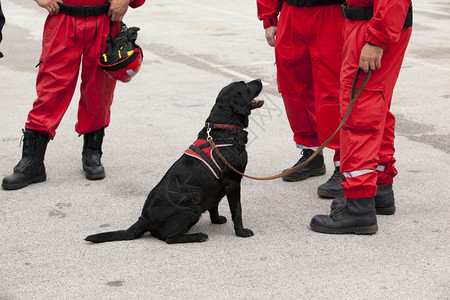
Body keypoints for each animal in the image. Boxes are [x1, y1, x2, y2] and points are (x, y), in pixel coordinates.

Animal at [85, 79, 264, 244]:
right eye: (245, 85)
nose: (260, 80)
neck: (224, 130)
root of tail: (143, 220)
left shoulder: (217, 187)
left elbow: (214, 206)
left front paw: (216, 219)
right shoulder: (233, 183)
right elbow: (237, 211)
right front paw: (241, 232)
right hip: (192, 209)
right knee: (168, 239)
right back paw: (197, 236)